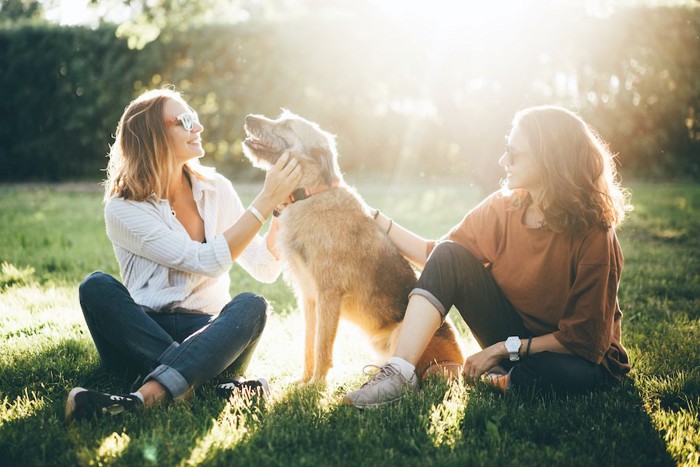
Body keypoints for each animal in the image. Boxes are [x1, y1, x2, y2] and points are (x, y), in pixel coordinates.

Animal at [242, 110, 464, 384]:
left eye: (286, 125)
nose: (248, 117)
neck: (311, 194)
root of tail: (461, 361)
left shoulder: (328, 293)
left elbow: (322, 345)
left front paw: (316, 385)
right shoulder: (309, 297)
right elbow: (309, 343)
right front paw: (304, 381)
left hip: (404, 333)